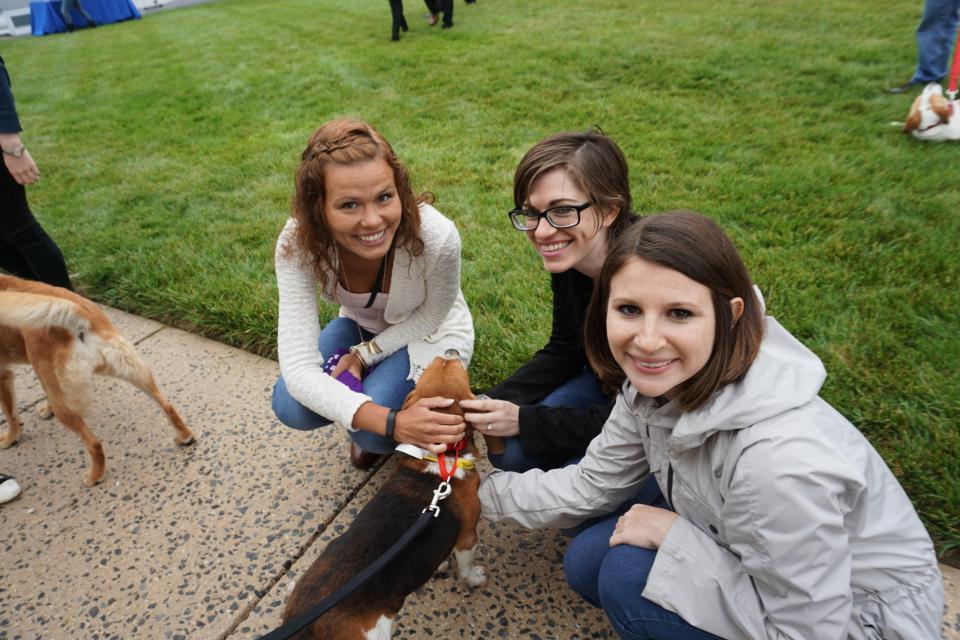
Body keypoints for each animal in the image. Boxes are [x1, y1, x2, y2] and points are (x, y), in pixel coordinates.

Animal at [0, 274, 195, 484]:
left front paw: (10, 438)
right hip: (130, 368)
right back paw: (185, 437)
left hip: (65, 403)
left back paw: (94, 476)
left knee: (94, 443)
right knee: (168, 406)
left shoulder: (4, 376)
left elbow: (11, 415)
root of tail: (80, 319)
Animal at [284, 352, 496, 636]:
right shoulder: (467, 536)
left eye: (431, 368)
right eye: (450, 366)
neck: (438, 457)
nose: (449, 351)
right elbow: (465, 563)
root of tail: (304, 627)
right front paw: (473, 577)